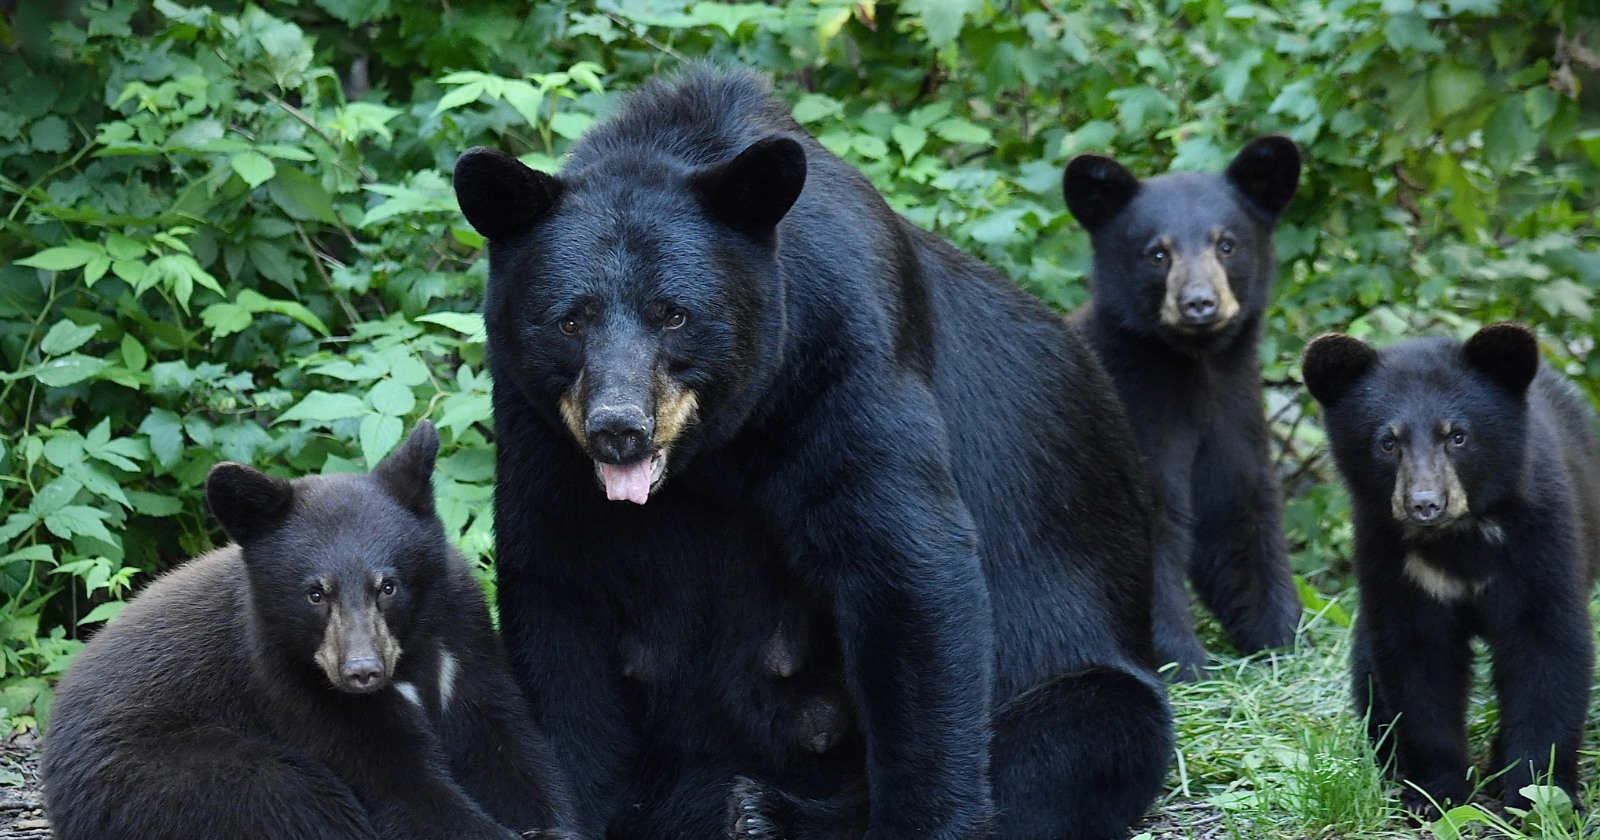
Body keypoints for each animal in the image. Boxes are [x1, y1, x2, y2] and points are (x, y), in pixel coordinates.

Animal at [41, 421, 576, 840]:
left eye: (389, 585)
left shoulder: (463, 642)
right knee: (291, 799)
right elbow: (404, 790)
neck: (408, 657)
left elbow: (509, 751)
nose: (361, 671)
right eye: (315, 594)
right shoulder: (292, 685)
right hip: (168, 777)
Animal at [451, 65, 1173, 840]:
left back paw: (763, 812)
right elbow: (558, 596)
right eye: (570, 319)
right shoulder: (535, 423)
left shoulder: (843, 356)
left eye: (674, 314)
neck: (712, 451)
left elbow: (908, 571)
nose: (620, 428)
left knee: (1078, 733)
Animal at [1062, 137, 1305, 679]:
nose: (1199, 303)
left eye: (1226, 244)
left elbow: (1238, 514)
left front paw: (1283, 637)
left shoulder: (1233, 413)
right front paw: (1183, 663)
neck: (1194, 370)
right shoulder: (1135, 417)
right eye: (1157, 253)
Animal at [1302, 323, 1600, 815]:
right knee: (1368, 670)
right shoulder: (1391, 557)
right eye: (1388, 442)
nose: (1425, 504)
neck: (1458, 538)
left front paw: (1536, 795)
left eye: (1457, 436)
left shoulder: (1539, 540)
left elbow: (1547, 648)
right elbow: (1417, 660)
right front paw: (1436, 793)